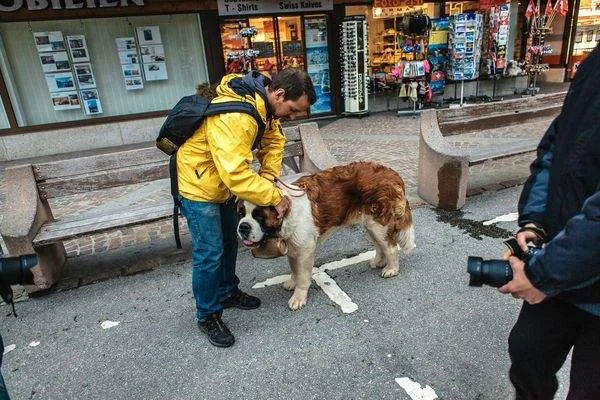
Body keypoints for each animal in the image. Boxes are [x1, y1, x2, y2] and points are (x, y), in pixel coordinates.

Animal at [237, 161, 414, 310]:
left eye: (259, 216)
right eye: (240, 213)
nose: (243, 227)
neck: (288, 211)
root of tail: (392, 173)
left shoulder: (305, 249)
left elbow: (303, 276)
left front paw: (298, 297)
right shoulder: (293, 247)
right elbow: (294, 268)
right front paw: (292, 282)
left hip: (379, 224)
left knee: (390, 247)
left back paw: (391, 269)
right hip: (370, 224)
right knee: (380, 245)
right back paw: (378, 262)